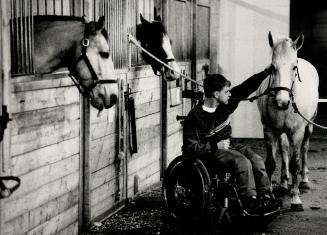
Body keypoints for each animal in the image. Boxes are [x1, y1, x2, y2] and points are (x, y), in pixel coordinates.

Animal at [258, 31, 320, 211]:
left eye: (294, 67)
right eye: (272, 67)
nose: (282, 102)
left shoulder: (296, 132)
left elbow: (295, 164)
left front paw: (296, 199)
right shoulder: (270, 131)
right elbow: (271, 163)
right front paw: (268, 195)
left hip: (309, 126)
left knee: (304, 148)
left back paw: (304, 181)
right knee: (284, 149)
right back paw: (284, 183)